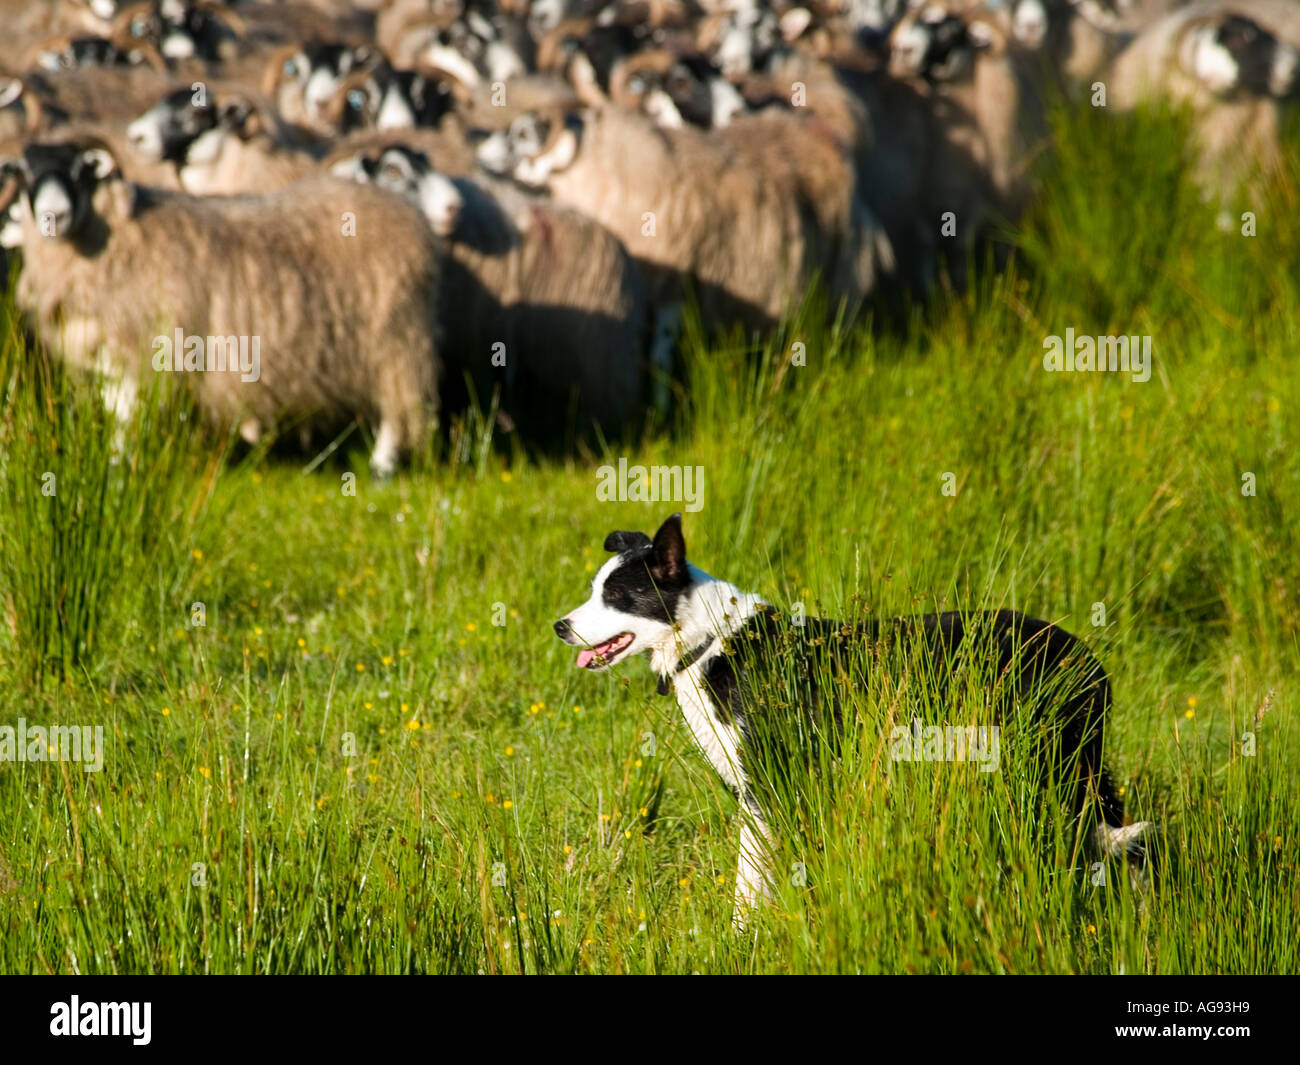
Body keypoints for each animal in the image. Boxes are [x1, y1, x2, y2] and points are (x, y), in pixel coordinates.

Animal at [6, 135, 444, 476]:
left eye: (81, 170)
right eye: (25, 173)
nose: (54, 215)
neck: (115, 238)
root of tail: (399, 206)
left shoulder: (145, 348)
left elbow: (127, 416)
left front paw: (119, 469)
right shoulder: (110, 356)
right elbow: (117, 414)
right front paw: (113, 465)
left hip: (396, 336)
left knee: (399, 405)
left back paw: (382, 465)